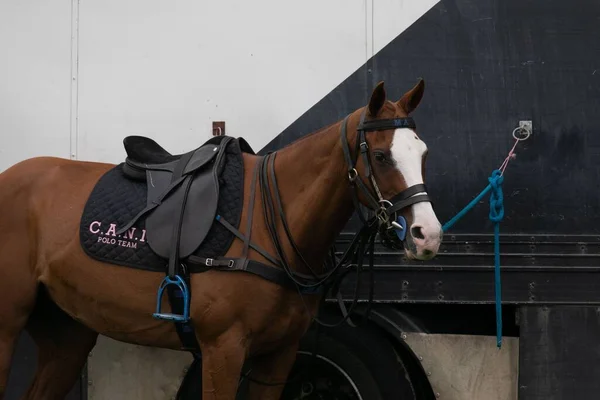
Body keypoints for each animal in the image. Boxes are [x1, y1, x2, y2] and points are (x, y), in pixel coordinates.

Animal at [0, 79, 440, 398]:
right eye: (381, 156)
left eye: (423, 154)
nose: (428, 235)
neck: (270, 220)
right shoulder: (223, 350)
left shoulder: (278, 357)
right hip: (8, 325)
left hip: (66, 332)